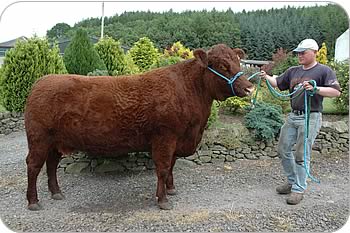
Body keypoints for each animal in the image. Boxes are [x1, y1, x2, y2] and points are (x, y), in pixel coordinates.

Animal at [25, 42, 254, 210]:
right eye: (222, 66)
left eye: (238, 61)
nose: (250, 88)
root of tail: (42, 81)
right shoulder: (165, 138)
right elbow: (163, 168)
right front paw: (163, 201)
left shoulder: (177, 141)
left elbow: (172, 165)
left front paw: (171, 190)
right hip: (39, 138)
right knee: (34, 165)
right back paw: (33, 202)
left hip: (56, 142)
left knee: (51, 165)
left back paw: (56, 193)